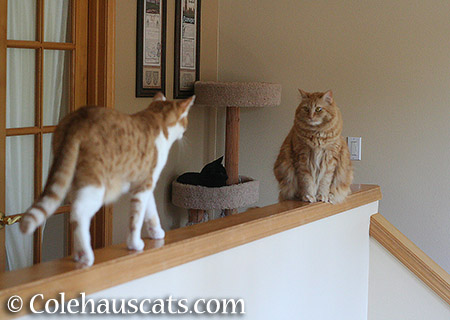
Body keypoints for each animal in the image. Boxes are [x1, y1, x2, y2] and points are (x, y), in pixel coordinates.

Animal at [19, 92, 193, 268]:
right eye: (186, 121)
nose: (185, 132)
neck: (157, 119)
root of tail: (79, 117)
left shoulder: (144, 186)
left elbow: (151, 212)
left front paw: (156, 233)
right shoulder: (144, 185)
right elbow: (136, 219)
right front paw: (134, 244)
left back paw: (77, 255)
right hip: (96, 186)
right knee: (78, 213)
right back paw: (85, 256)